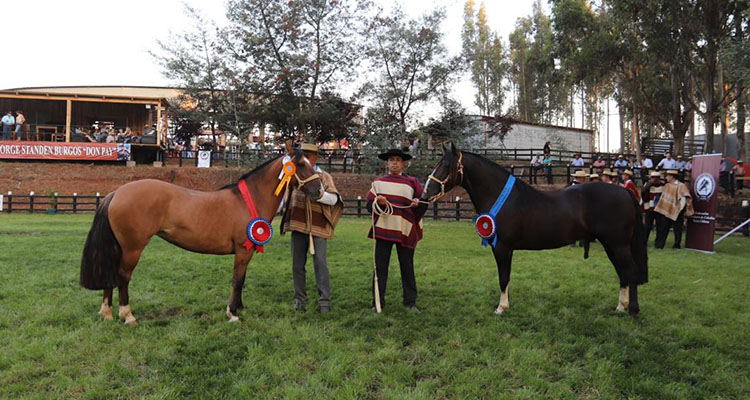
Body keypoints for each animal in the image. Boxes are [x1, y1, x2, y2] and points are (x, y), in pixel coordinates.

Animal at [81, 145, 324, 324]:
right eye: (300, 164)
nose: (319, 190)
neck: (250, 199)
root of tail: (116, 192)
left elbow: (242, 279)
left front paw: (239, 307)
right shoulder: (242, 251)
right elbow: (237, 279)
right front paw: (232, 313)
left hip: (119, 247)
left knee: (111, 275)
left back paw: (107, 313)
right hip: (132, 248)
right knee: (123, 277)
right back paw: (127, 315)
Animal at [426, 144, 648, 316]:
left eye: (446, 166)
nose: (427, 191)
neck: (502, 197)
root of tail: (625, 192)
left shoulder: (502, 248)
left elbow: (503, 277)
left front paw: (501, 308)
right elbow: (506, 277)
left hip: (618, 245)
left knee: (630, 271)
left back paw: (633, 310)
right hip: (612, 245)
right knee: (622, 273)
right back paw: (620, 307)